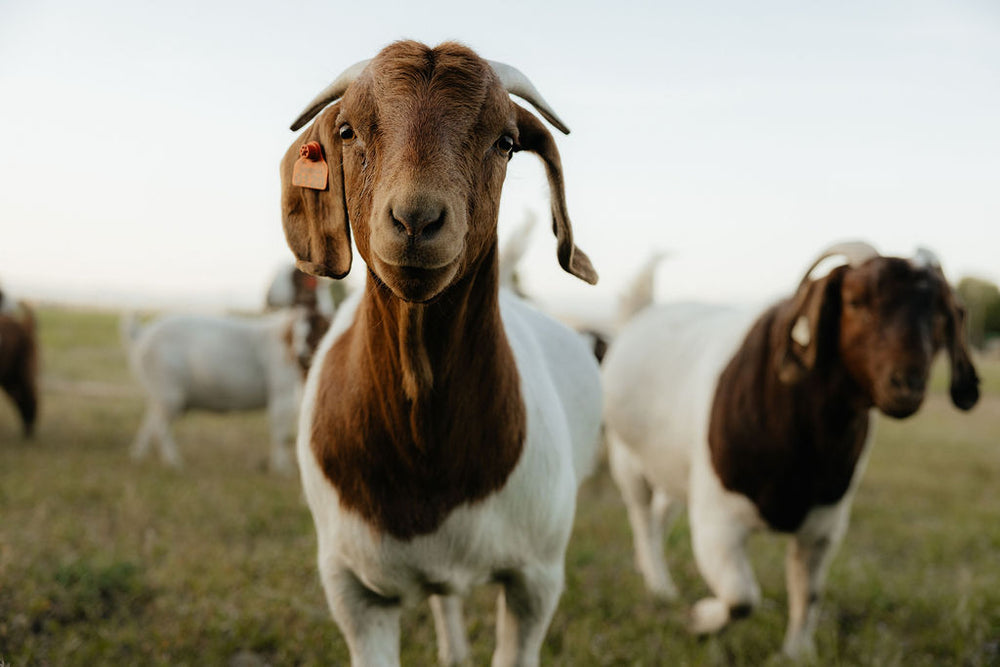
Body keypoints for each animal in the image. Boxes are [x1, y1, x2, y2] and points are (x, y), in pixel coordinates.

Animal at [122, 304, 329, 473]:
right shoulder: (282, 394)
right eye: (298, 333)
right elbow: (280, 433)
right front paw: (282, 468)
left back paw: (138, 455)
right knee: (159, 428)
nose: (300, 355)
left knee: (149, 421)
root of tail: (141, 333)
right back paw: (174, 462)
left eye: (315, 329)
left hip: (159, 395)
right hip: (169, 393)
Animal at [602, 241, 980, 658]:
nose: (907, 384)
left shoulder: (824, 527)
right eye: (855, 300)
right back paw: (660, 585)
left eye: (940, 312)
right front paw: (699, 620)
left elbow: (807, 593)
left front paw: (797, 653)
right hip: (627, 460)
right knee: (642, 519)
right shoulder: (718, 521)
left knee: (662, 512)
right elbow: (741, 598)